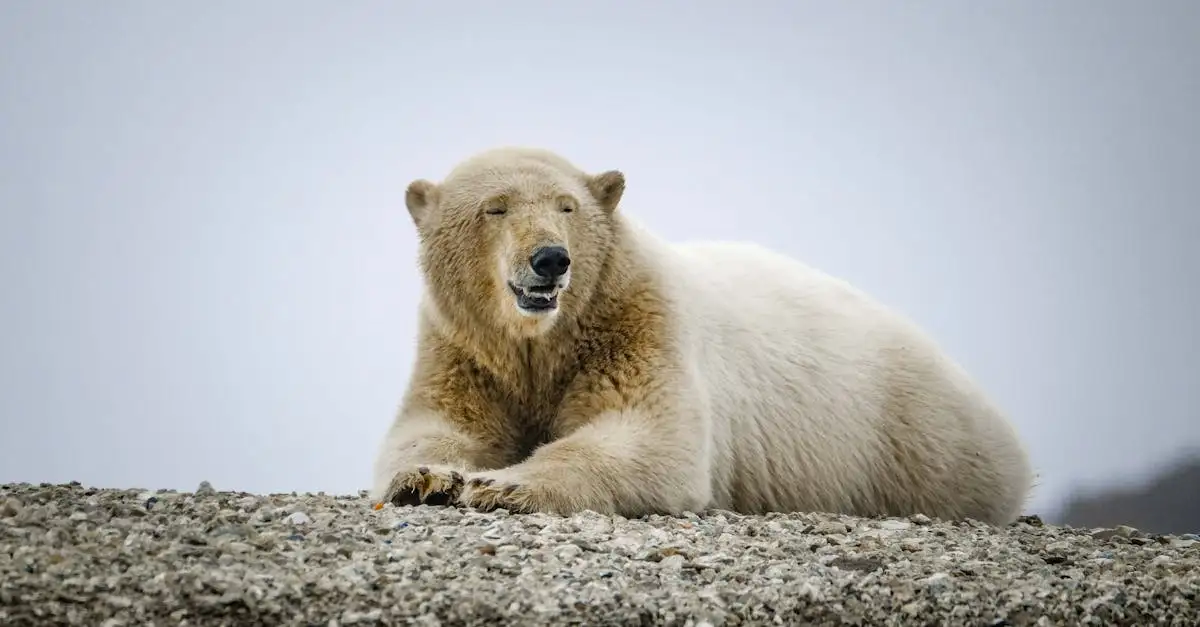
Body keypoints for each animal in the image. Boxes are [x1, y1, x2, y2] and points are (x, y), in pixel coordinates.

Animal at [370, 146, 1035, 526]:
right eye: (496, 207)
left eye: (566, 206)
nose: (551, 260)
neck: (545, 339)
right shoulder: (464, 349)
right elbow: (439, 426)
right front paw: (429, 479)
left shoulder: (637, 322)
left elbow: (649, 436)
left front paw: (499, 485)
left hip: (909, 438)